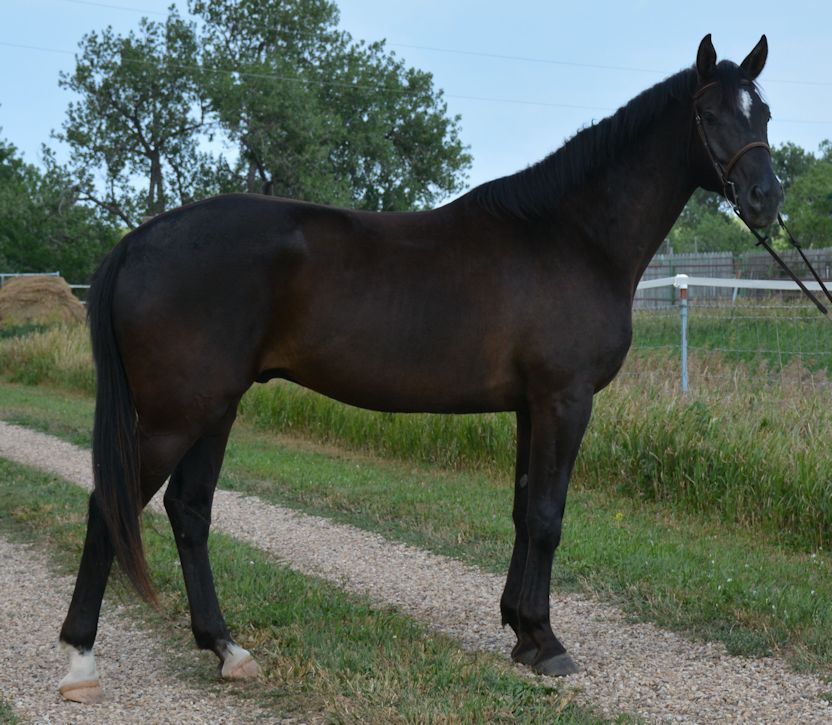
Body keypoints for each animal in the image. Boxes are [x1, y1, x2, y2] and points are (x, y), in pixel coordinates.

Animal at [57, 34, 783, 702]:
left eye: (765, 112)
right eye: (709, 113)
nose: (767, 197)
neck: (571, 237)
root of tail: (140, 239)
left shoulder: (531, 406)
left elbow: (523, 511)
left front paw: (521, 630)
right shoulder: (565, 399)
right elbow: (549, 517)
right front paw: (547, 643)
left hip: (215, 407)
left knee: (189, 509)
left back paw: (227, 649)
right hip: (176, 415)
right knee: (110, 505)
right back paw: (81, 661)